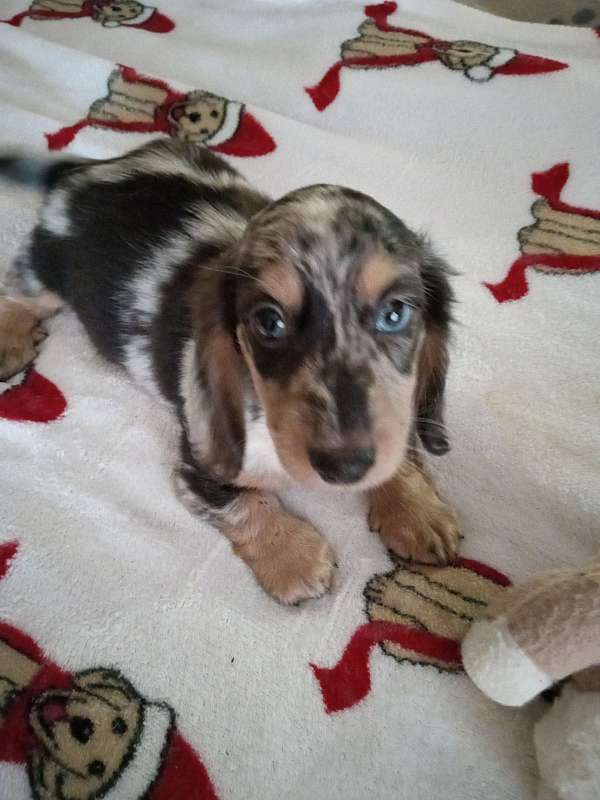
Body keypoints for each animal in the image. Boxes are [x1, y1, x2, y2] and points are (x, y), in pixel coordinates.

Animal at [0, 142, 460, 608]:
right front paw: (293, 556)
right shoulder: (201, 463)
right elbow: (243, 504)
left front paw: (415, 510)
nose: (345, 466)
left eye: (395, 313)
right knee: (21, 292)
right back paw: (9, 337)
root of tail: (90, 171)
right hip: (45, 269)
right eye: (269, 322)